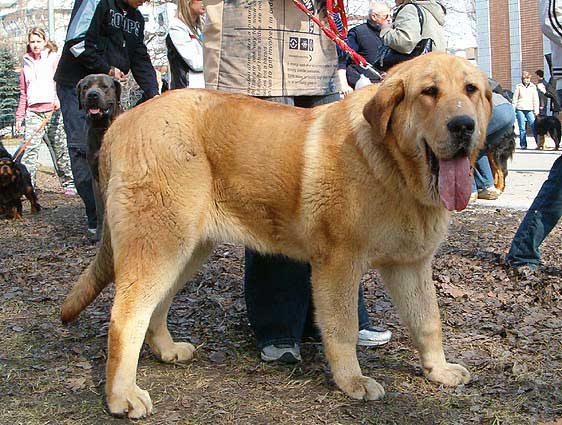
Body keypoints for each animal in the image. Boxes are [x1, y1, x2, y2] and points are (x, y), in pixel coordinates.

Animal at [75, 74, 121, 240]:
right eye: (85, 87)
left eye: (104, 86)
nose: (92, 95)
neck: (102, 129)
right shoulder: (96, 177)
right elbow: (100, 209)